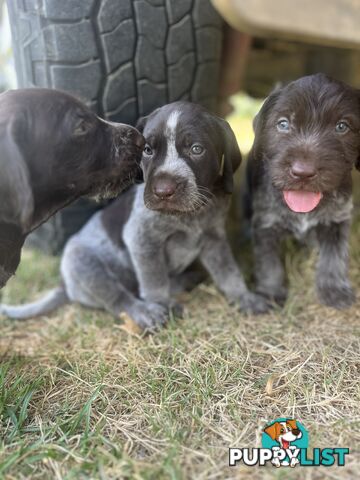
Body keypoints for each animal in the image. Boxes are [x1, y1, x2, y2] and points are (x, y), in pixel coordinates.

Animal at [248, 73, 360, 310]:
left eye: (342, 127)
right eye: (283, 124)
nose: (303, 172)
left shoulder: (337, 222)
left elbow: (334, 257)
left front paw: (334, 290)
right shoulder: (265, 223)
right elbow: (268, 262)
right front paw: (270, 292)